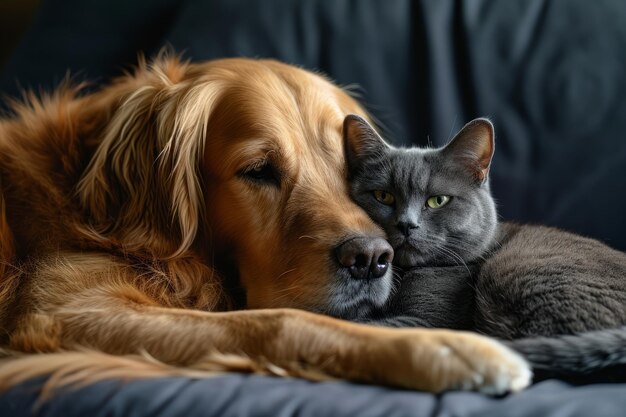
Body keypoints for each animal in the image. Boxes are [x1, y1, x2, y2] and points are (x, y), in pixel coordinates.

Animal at [0, 54, 528, 394]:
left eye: (349, 169)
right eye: (258, 171)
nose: (373, 259)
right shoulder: (63, 311)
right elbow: (280, 321)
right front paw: (448, 349)